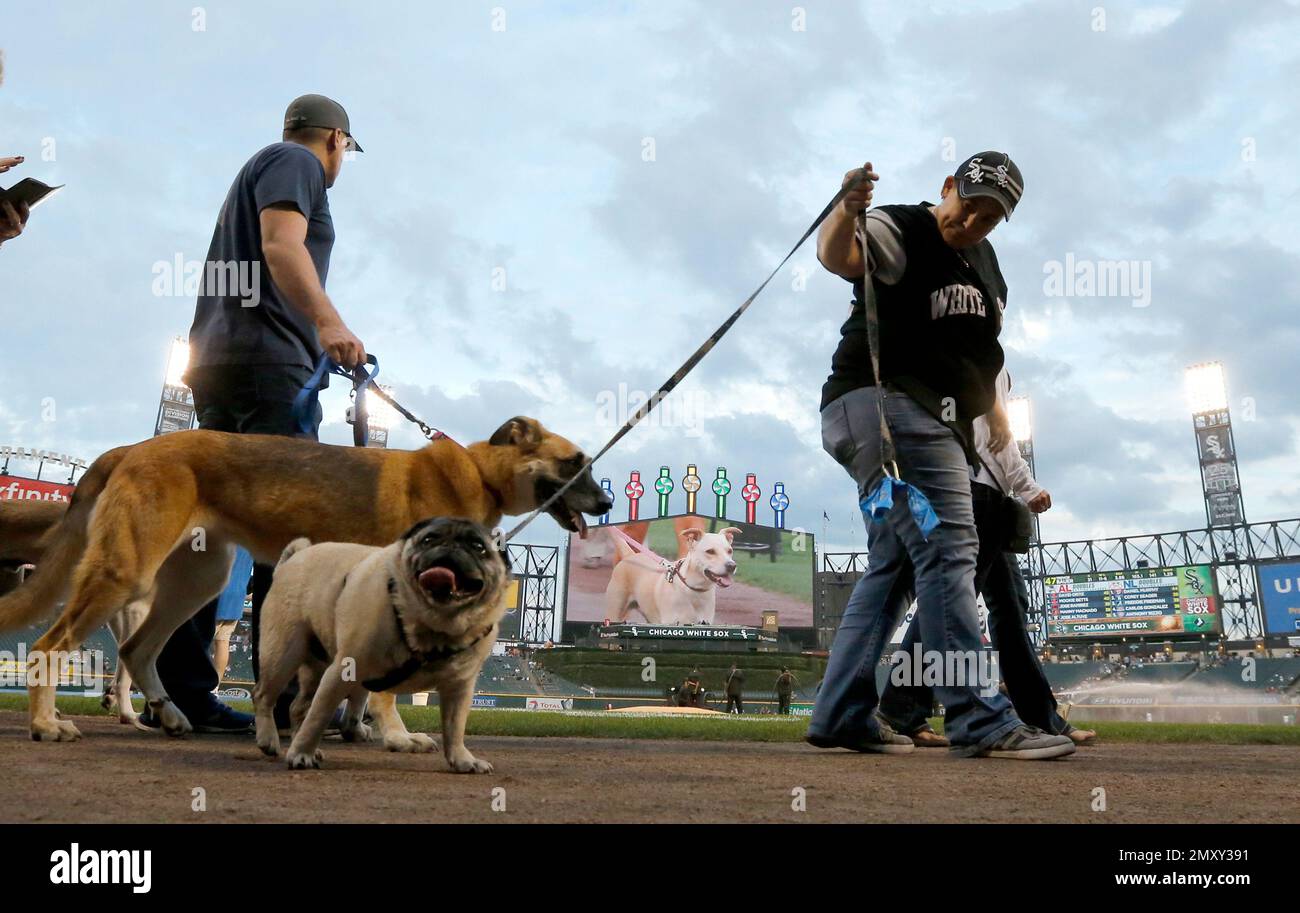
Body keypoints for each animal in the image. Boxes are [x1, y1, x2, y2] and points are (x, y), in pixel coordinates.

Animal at [0, 421, 613, 743]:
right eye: (575, 463)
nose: (607, 505)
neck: (480, 474)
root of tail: (132, 447)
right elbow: (383, 689)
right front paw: (394, 734)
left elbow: (363, 686)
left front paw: (359, 729)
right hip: (125, 574)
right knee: (48, 646)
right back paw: (46, 723)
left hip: (195, 580)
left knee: (135, 649)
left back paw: (169, 714)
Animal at [256, 522, 509, 769]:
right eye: (427, 539)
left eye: (479, 547)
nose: (450, 546)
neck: (436, 629)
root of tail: (294, 558)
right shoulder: (342, 673)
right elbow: (319, 716)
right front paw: (301, 753)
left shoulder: (459, 687)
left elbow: (455, 727)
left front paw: (462, 759)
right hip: (282, 654)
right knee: (264, 696)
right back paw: (270, 739)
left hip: (316, 667)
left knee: (299, 707)